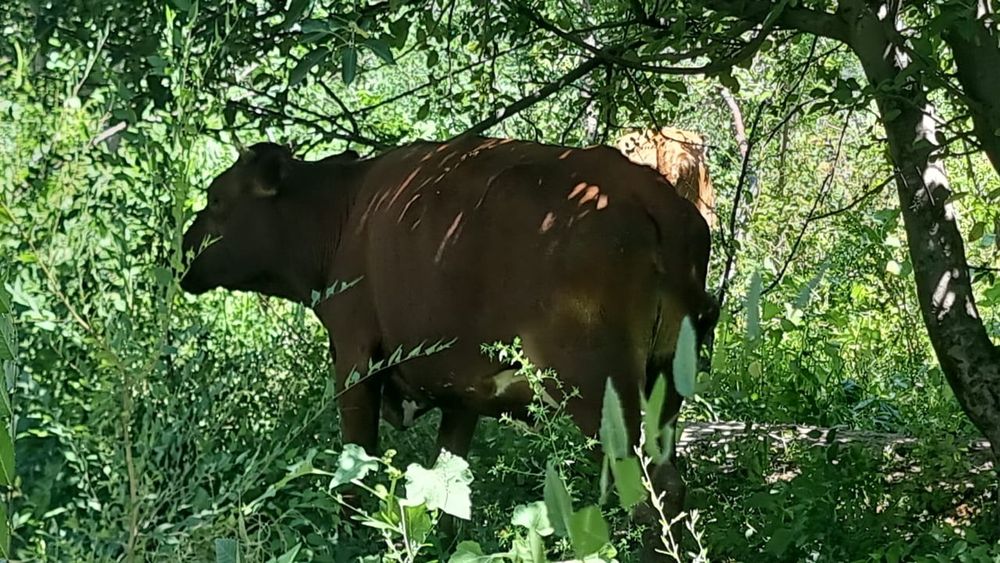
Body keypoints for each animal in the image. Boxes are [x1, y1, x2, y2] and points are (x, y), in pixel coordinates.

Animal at [180, 135, 718, 526]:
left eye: (216, 198)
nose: (183, 246)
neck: (343, 212)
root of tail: (653, 199)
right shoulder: (465, 390)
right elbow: (446, 481)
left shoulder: (354, 355)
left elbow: (356, 462)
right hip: (663, 389)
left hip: (597, 391)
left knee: (649, 489)